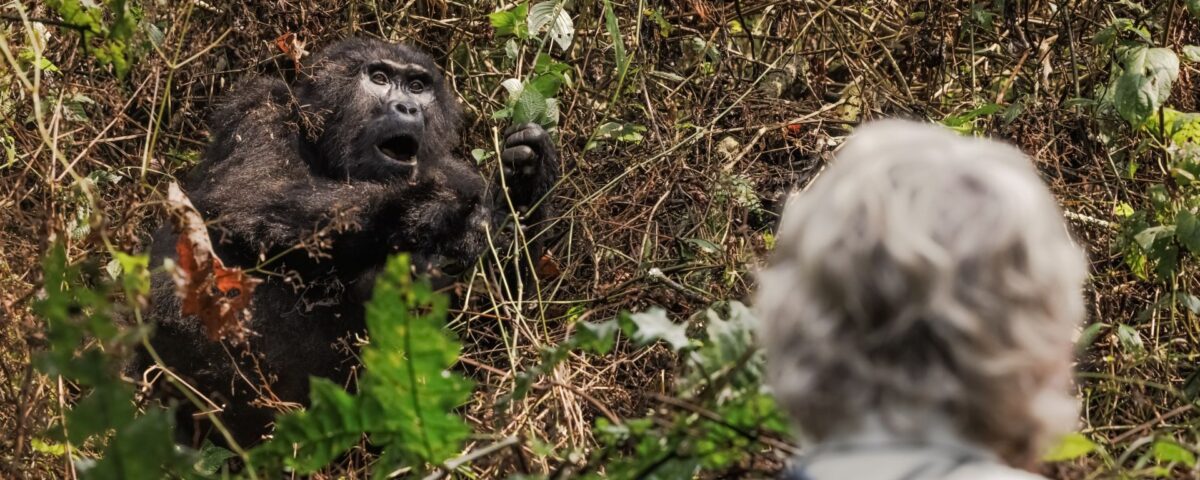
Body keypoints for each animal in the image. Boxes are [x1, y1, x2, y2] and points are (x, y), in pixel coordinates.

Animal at [133, 38, 559, 448]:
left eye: (418, 86)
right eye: (380, 78)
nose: (408, 108)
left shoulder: (461, 173)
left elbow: (499, 320)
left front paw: (527, 178)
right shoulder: (258, 111)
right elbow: (250, 199)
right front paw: (425, 205)